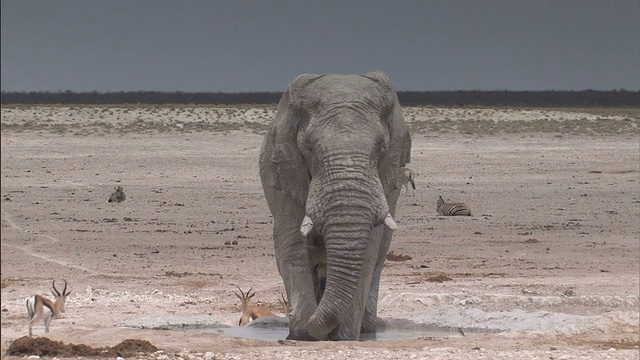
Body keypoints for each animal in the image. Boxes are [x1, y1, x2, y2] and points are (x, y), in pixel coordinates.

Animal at [258, 71, 412, 340]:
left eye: (381, 148)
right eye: (309, 148)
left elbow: (367, 252)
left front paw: (344, 336)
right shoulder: (287, 173)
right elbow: (293, 245)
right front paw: (302, 333)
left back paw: (367, 329)